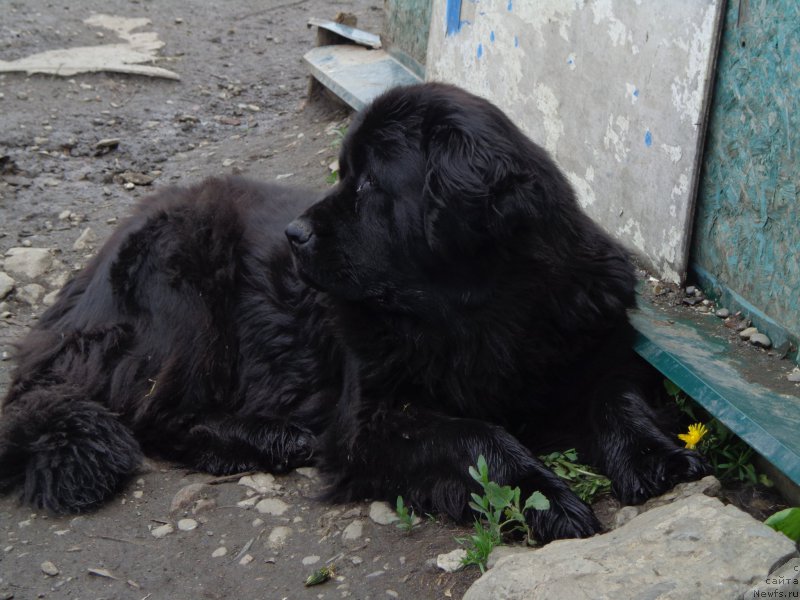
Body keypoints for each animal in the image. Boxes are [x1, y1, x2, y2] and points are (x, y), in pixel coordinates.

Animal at [0, 82, 704, 540]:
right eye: (342, 173)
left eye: (367, 184)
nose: (294, 235)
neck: (479, 311)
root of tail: (78, 289)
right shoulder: (374, 419)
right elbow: (478, 437)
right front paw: (546, 498)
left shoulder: (590, 350)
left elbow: (618, 399)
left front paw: (658, 458)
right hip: (185, 299)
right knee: (152, 413)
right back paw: (265, 438)